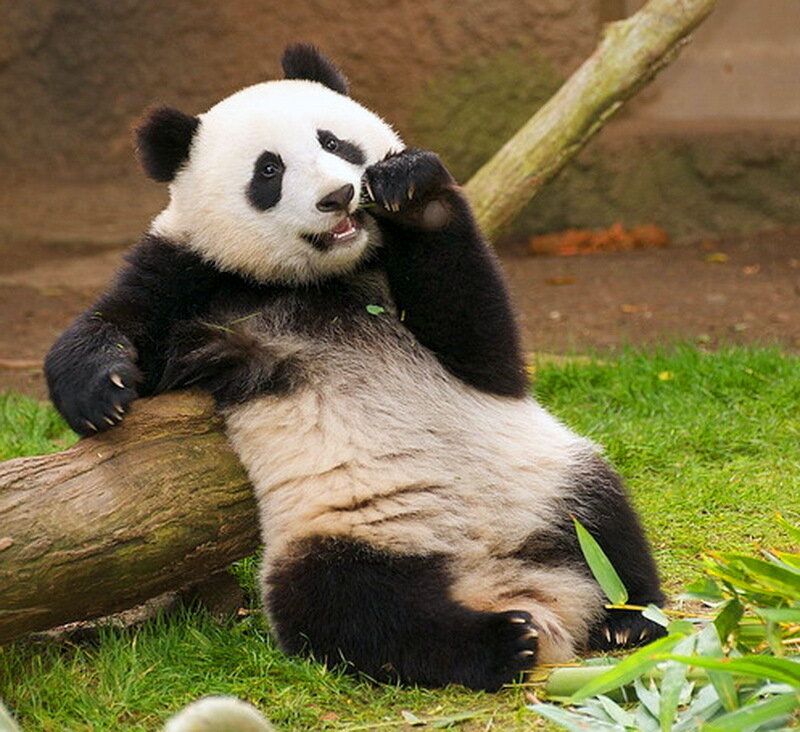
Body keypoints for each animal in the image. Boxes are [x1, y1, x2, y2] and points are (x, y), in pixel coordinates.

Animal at [45, 44, 666, 691]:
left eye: (334, 142)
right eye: (269, 172)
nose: (338, 196)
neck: (318, 281)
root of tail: (501, 580)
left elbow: (482, 342)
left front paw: (411, 188)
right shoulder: (192, 273)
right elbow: (123, 316)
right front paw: (98, 391)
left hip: (542, 474)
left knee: (604, 523)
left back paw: (626, 619)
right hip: (337, 532)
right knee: (358, 610)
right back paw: (499, 641)